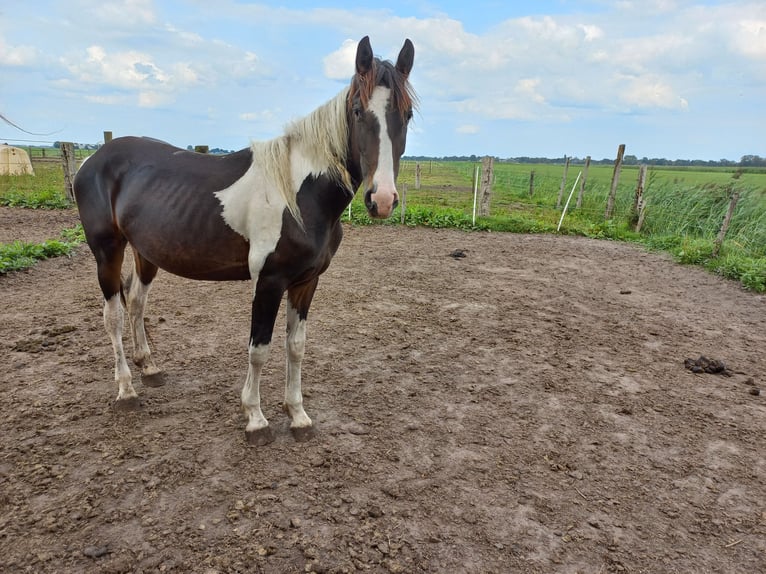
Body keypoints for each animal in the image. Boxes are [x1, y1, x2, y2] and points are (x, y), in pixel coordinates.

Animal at [75, 36, 416, 448]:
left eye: (408, 114)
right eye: (356, 110)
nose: (381, 199)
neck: (300, 194)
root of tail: (94, 157)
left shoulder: (307, 282)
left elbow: (296, 347)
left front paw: (298, 415)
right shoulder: (269, 282)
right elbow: (259, 349)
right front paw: (255, 418)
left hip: (146, 252)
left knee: (136, 301)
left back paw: (150, 368)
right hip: (107, 250)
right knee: (112, 314)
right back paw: (126, 390)